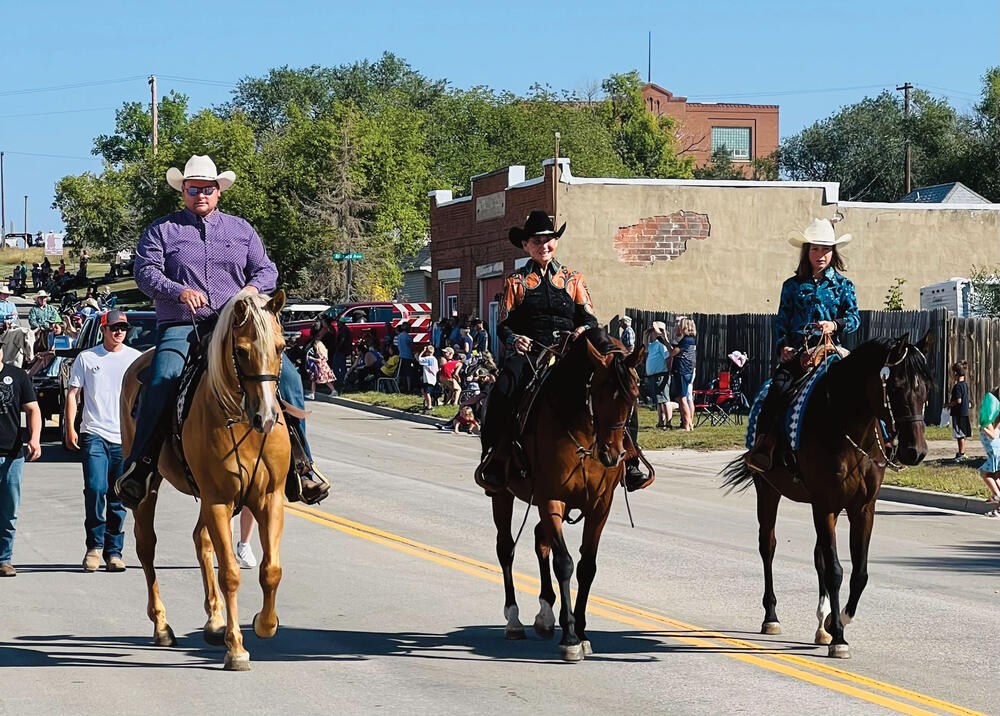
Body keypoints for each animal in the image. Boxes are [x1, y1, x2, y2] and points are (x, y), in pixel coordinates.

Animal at [120, 290, 292, 672]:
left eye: (282, 347)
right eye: (240, 351)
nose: (267, 417)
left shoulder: (268, 498)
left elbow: (271, 569)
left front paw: (265, 624)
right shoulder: (218, 499)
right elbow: (230, 574)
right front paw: (237, 648)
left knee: (202, 541)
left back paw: (214, 622)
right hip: (150, 491)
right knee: (146, 547)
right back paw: (162, 626)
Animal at [488, 328, 644, 664]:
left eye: (634, 396)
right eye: (597, 392)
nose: (613, 455)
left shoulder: (600, 505)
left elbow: (587, 567)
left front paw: (582, 633)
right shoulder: (551, 498)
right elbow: (565, 563)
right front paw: (571, 637)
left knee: (539, 539)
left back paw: (546, 616)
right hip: (502, 495)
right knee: (506, 548)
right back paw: (514, 620)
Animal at [724, 332, 932, 656]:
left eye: (926, 388)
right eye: (896, 386)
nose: (915, 451)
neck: (848, 427)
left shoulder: (862, 508)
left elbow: (858, 572)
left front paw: (838, 621)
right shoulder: (824, 504)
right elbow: (835, 570)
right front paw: (839, 638)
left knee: (818, 556)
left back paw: (821, 626)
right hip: (768, 490)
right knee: (768, 546)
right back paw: (771, 617)